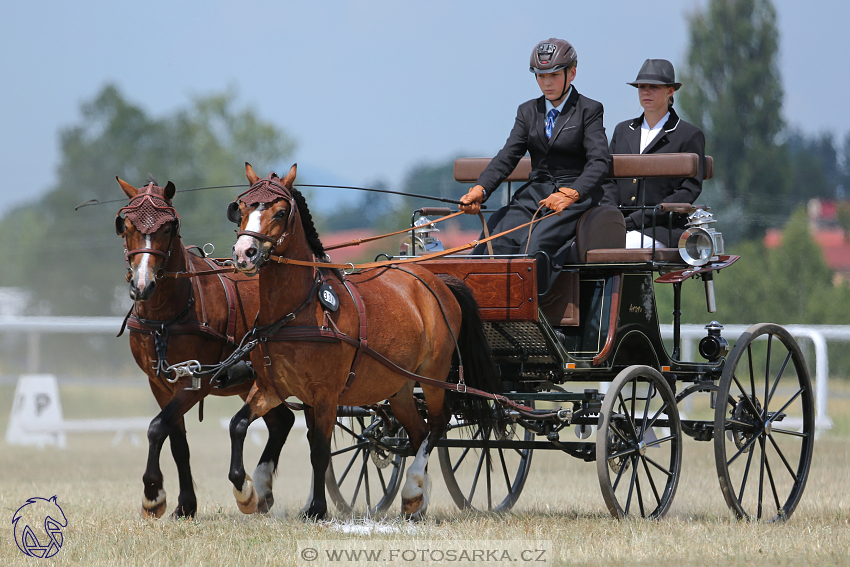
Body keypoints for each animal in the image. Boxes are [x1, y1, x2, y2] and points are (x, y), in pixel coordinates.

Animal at [114, 179, 296, 520]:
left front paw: (152, 495)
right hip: (255, 383)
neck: (170, 313)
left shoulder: (195, 381)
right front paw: (185, 504)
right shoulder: (159, 383)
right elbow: (177, 441)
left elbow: (156, 427)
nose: (142, 285)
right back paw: (262, 492)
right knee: (283, 422)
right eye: (126, 225)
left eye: (168, 227)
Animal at [225, 163, 504, 520]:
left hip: (434, 376)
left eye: (281, 211)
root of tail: (438, 281)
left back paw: (413, 488)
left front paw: (316, 509)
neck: (297, 311)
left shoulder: (325, 395)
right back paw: (416, 500)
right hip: (400, 387)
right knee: (420, 432)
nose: (244, 254)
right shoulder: (271, 387)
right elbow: (238, 425)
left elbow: (319, 450)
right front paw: (246, 491)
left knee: (439, 423)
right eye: (241, 208)